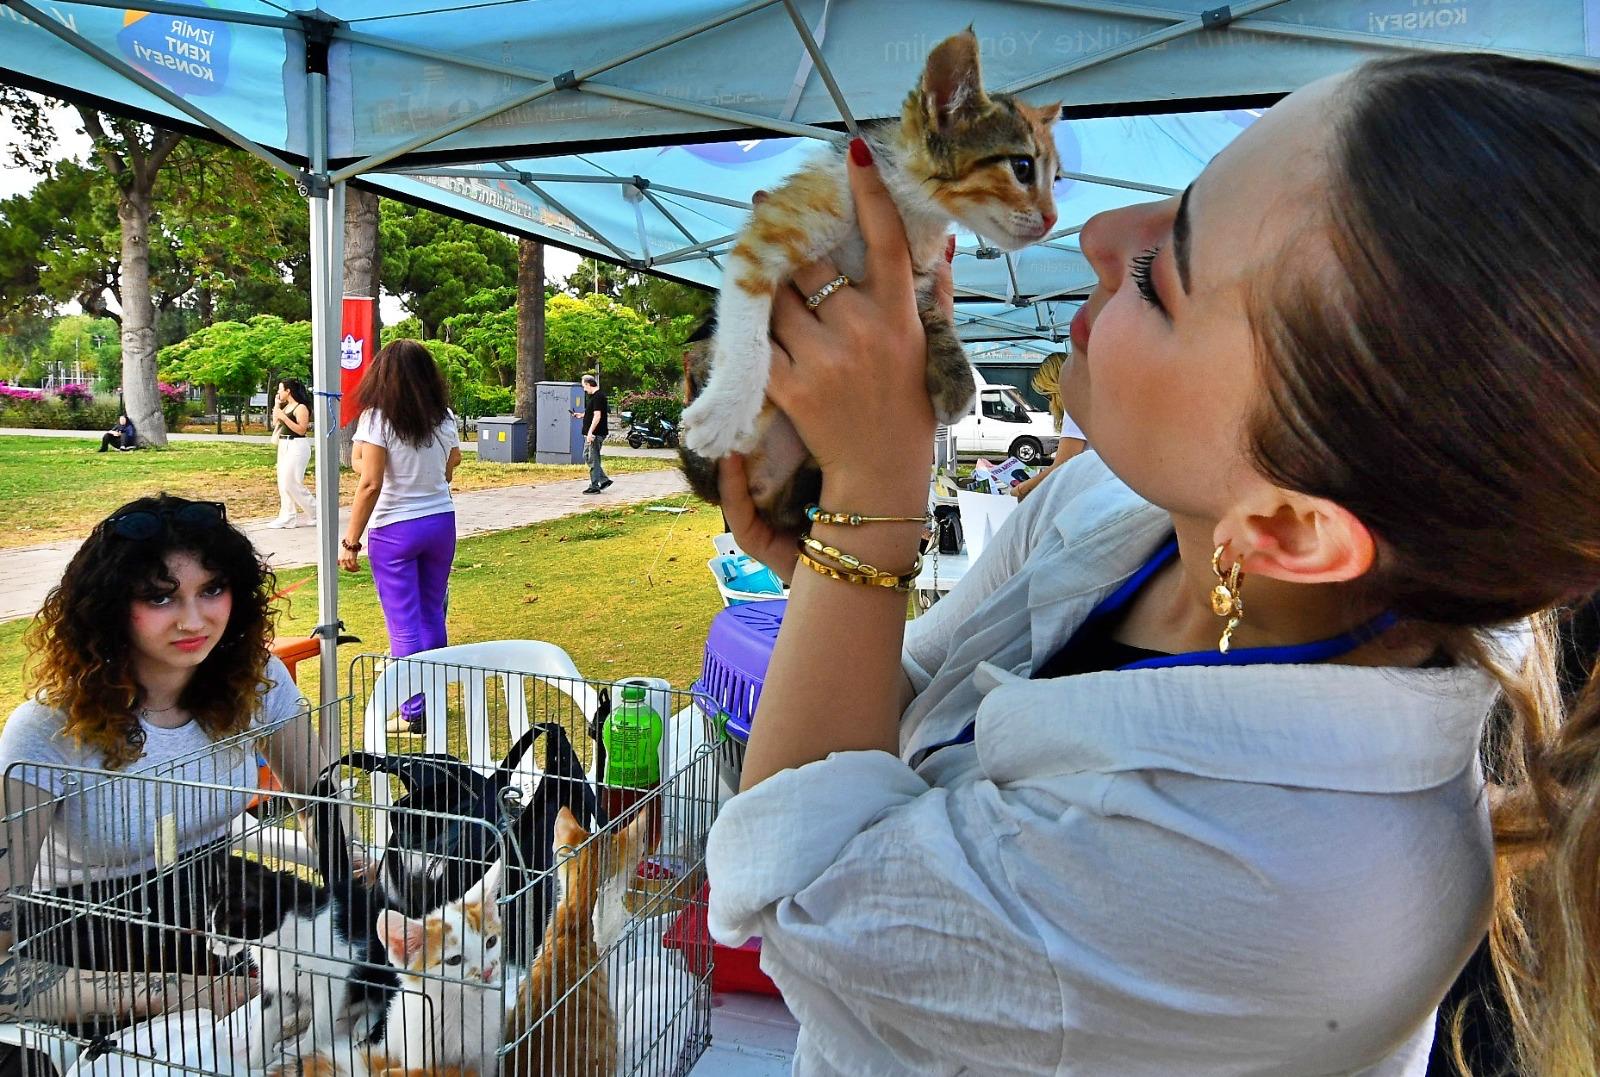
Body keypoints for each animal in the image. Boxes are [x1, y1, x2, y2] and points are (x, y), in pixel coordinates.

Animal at [678, 25, 1062, 528]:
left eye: (1056, 179)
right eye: (1022, 168)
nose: (1052, 219)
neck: (910, 207)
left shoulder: (915, 273)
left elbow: (930, 316)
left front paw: (955, 383)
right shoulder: (772, 232)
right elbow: (746, 328)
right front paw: (725, 409)